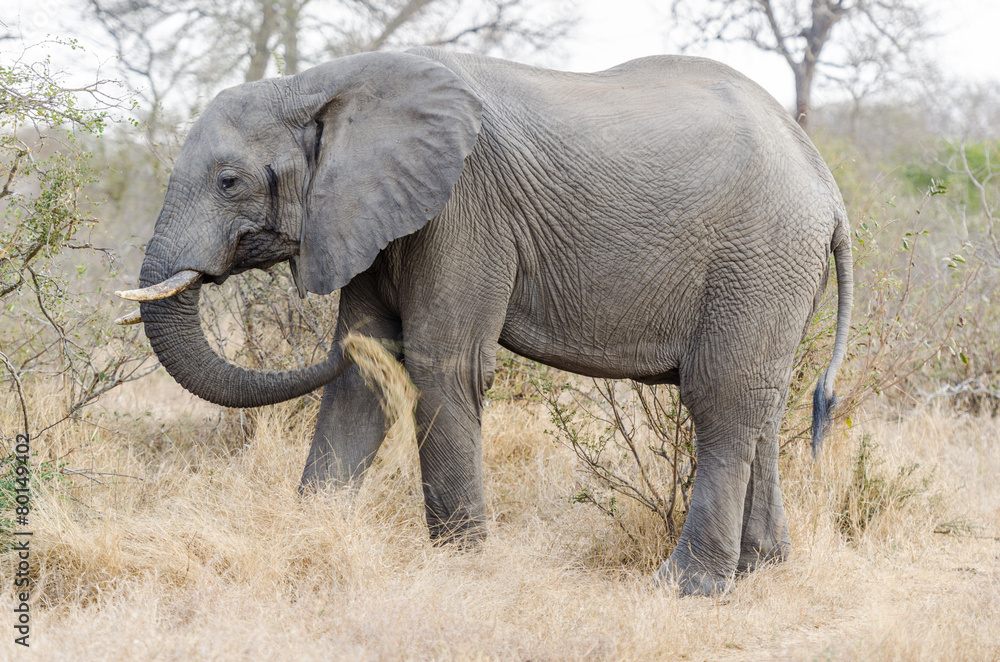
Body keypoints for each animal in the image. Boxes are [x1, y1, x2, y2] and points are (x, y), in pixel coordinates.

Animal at [116, 47, 852, 596]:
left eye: (229, 182)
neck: (320, 83)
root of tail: (827, 184)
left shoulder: (462, 207)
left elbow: (441, 363)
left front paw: (459, 568)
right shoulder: (369, 209)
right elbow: (362, 378)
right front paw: (308, 534)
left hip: (760, 255)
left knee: (720, 399)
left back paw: (686, 588)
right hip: (778, 272)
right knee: (762, 402)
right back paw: (762, 570)